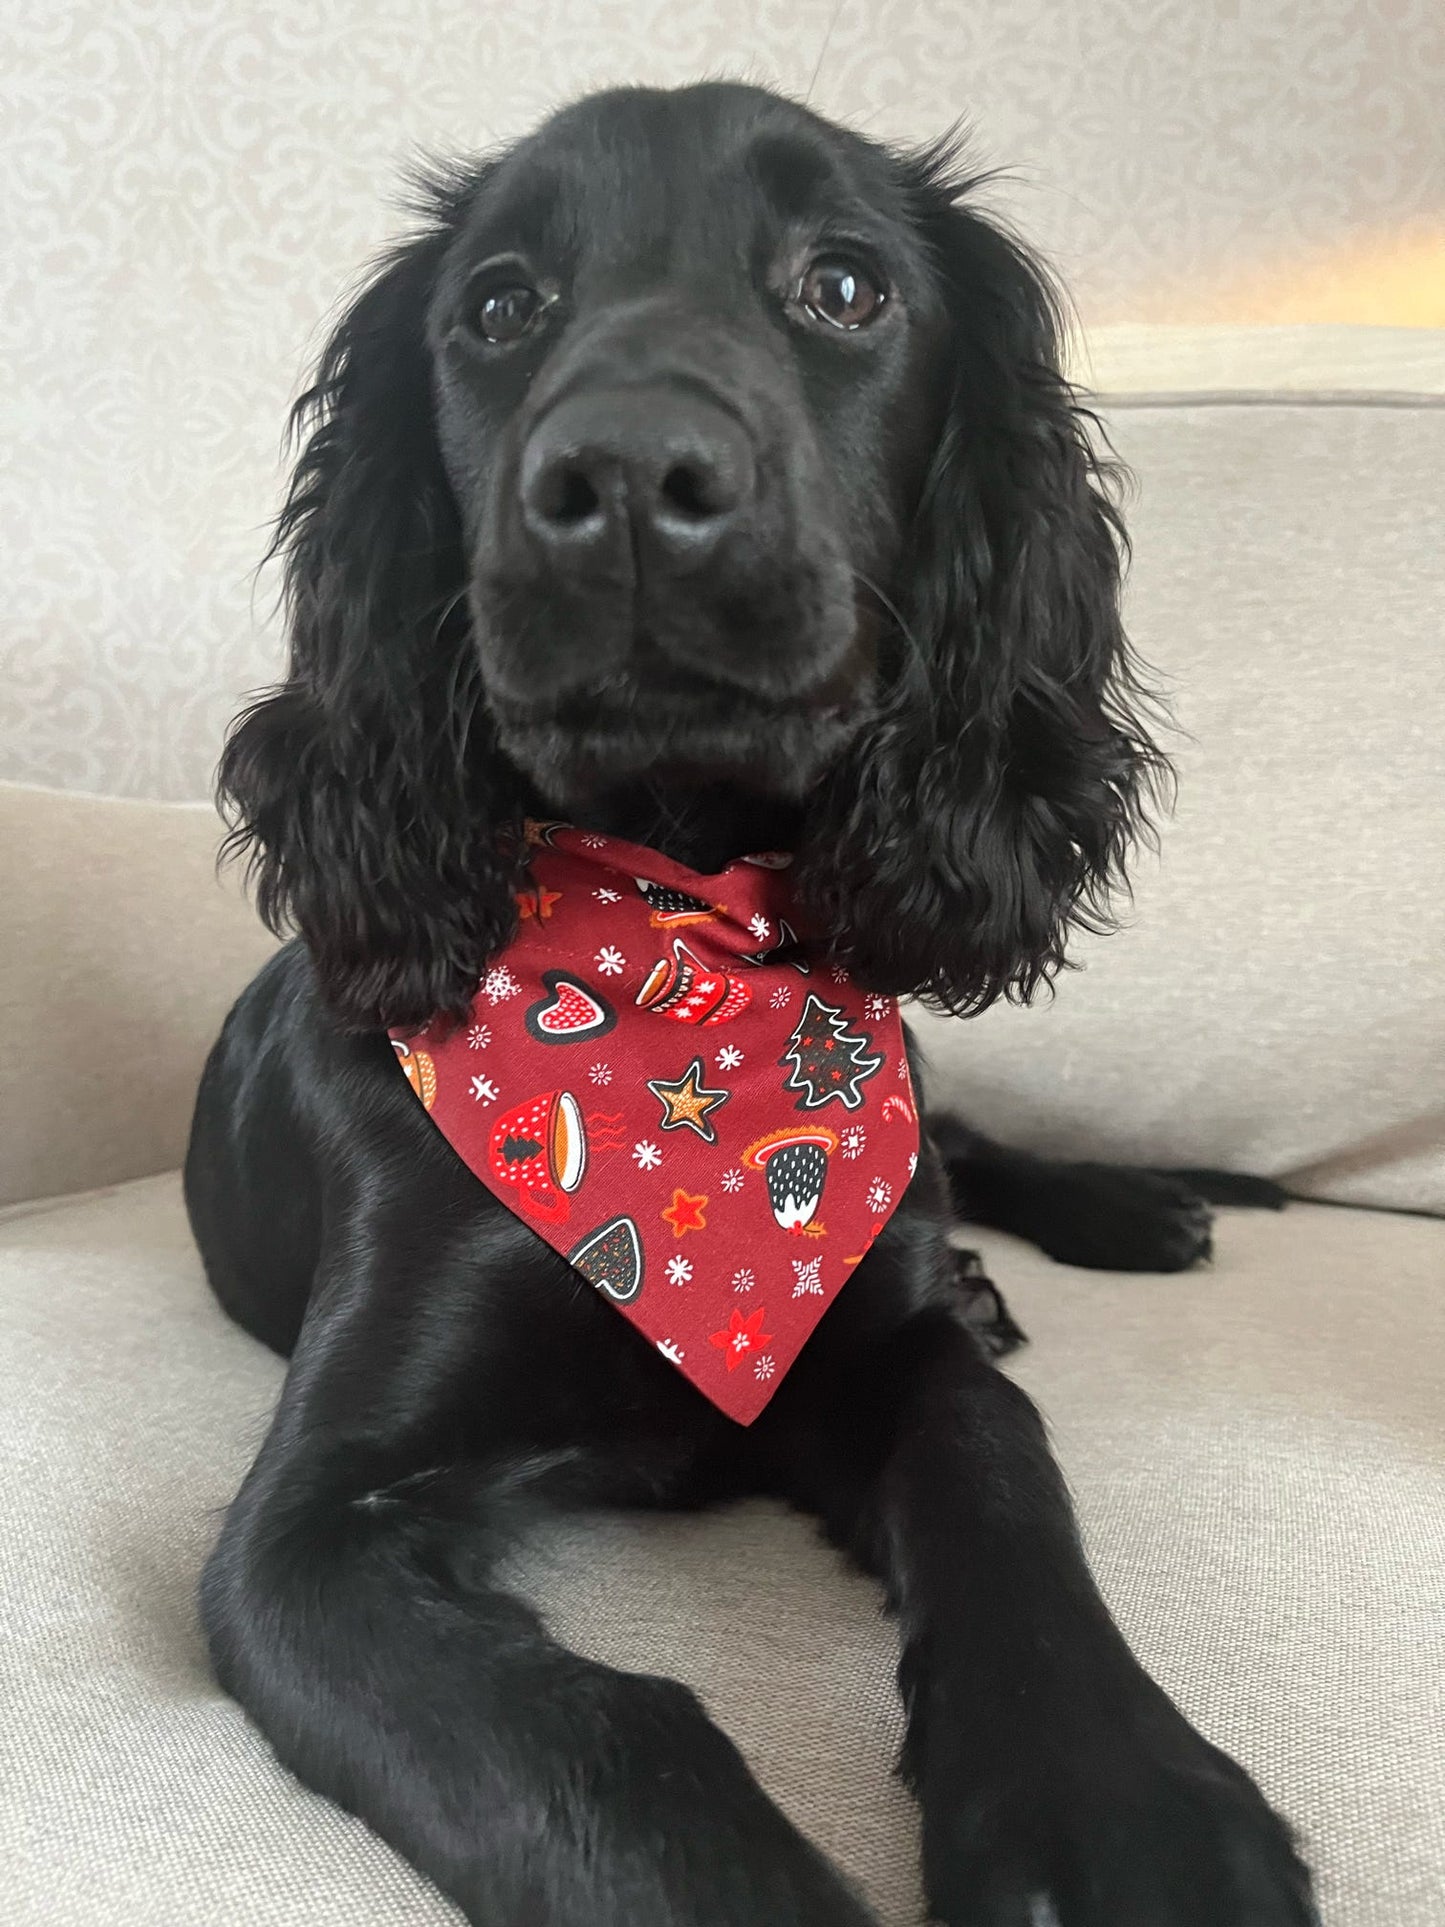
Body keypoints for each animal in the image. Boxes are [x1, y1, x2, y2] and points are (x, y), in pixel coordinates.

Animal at [186, 79, 1317, 1927]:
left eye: (845, 286)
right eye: (497, 307)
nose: (629, 475)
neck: (680, 956)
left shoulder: (901, 1354)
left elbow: (1005, 1467)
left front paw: (1126, 1811)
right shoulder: (310, 1533)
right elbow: (607, 1751)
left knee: (968, 1142)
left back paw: (1125, 1208)